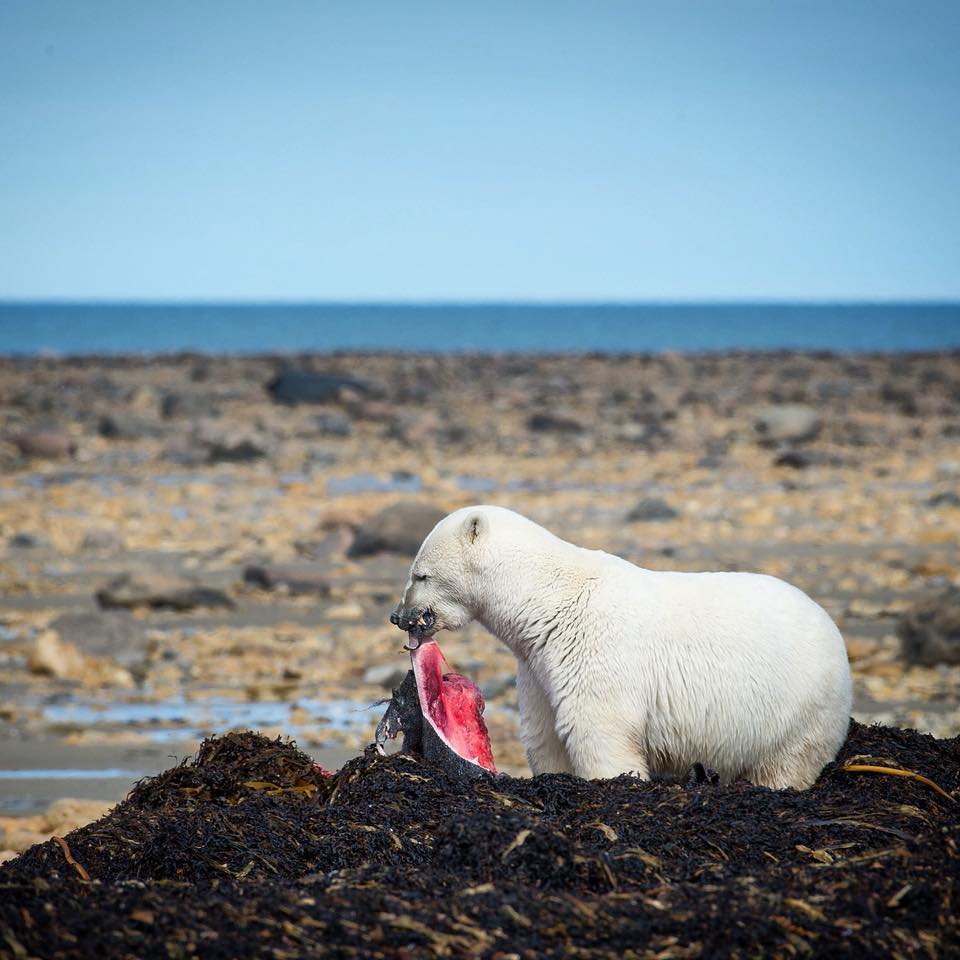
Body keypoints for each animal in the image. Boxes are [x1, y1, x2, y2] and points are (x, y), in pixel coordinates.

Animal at [390, 504, 853, 789]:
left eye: (421, 575)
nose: (398, 616)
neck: (550, 600)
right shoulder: (538, 664)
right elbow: (544, 733)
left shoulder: (594, 651)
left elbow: (599, 731)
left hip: (799, 707)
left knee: (786, 762)